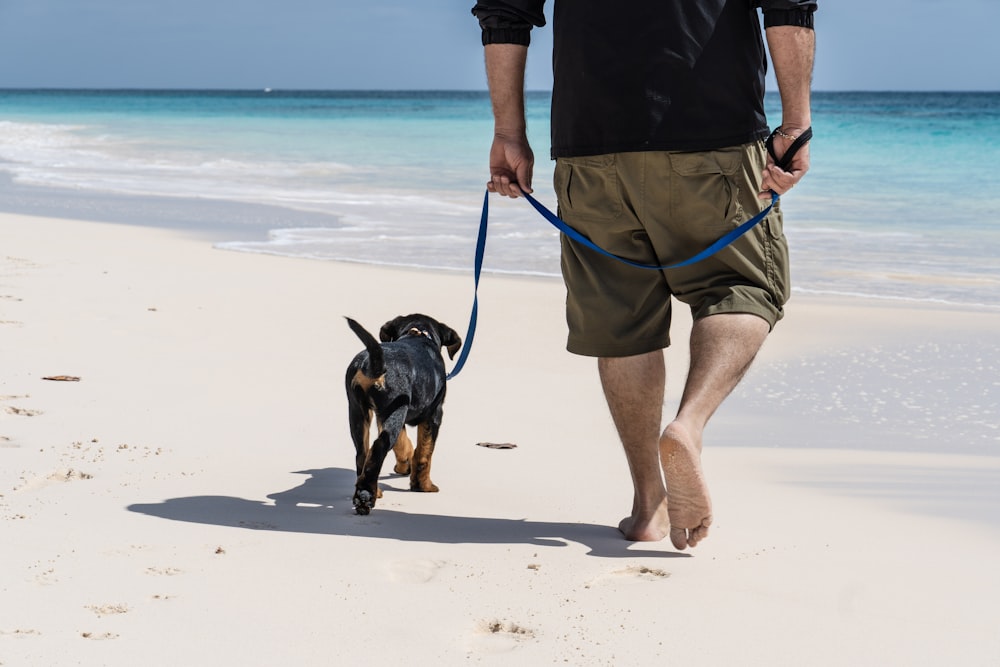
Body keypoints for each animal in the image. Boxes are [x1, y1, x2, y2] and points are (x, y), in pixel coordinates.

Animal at [346, 314, 462, 516]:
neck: (418, 333)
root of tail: (372, 364)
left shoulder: (387, 414)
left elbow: (403, 444)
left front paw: (405, 464)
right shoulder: (434, 415)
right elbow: (424, 453)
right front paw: (424, 486)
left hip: (358, 412)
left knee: (363, 453)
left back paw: (372, 490)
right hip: (393, 411)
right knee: (379, 448)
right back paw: (366, 496)